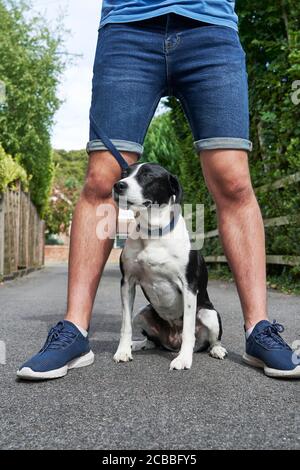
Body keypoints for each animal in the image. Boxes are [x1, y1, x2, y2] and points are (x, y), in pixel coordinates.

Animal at [112, 163, 227, 370]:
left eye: (148, 175)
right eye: (124, 173)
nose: (118, 185)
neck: (153, 233)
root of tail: (172, 341)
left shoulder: (189, 287)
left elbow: (188, 329)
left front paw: (183, 360)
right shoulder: (127, 283)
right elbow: (125, 324)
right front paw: (123, 351)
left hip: (209, 314)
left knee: (212, 340)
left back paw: (216, 350)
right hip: (143, 313)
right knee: (152, 340)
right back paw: (137, 344)